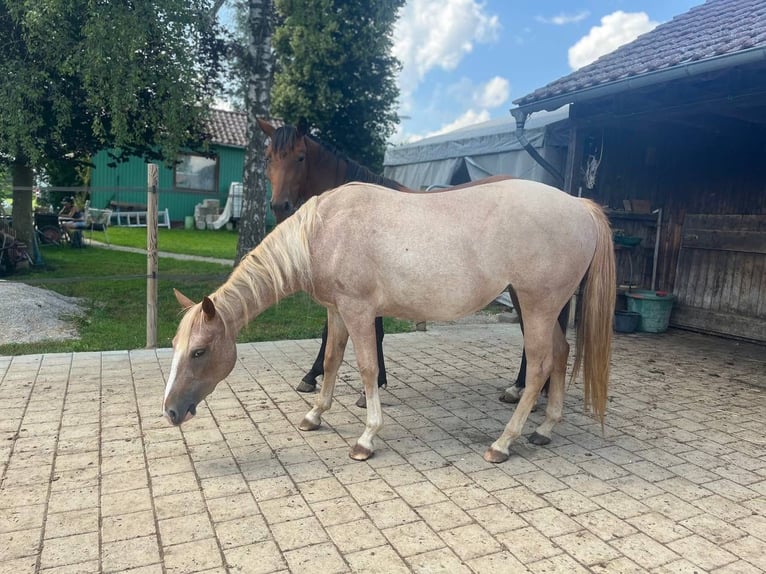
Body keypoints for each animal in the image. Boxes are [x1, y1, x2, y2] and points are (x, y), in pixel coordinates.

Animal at [164, 180, 616, 464]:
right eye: (174, 347)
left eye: (199, 351)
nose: (170, 412)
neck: (323, 230)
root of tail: (579, 206)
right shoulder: (336, 311)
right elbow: (331, 360)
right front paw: (315, 415)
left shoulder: (359, 311)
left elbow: (366, 368)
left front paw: (366, 438)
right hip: (540, 307)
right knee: (561, 353)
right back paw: (546, 429)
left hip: (537, 306)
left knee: (539, 366)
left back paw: (503, 443)